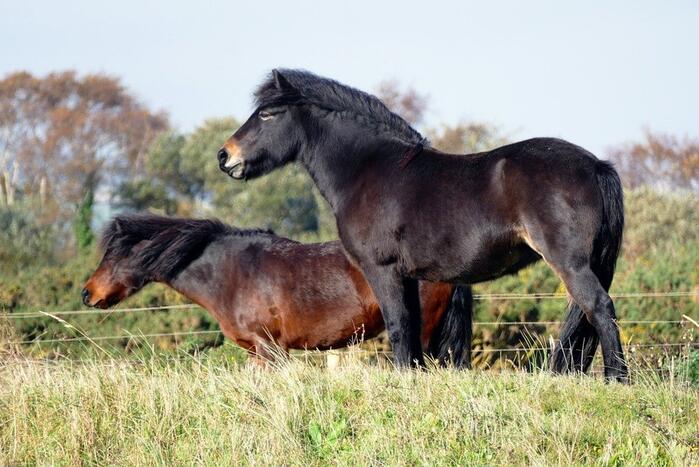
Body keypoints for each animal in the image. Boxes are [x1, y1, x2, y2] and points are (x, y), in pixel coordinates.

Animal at [217, 69, 628, 381]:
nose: (225, 156)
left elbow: (398, 326)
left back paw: (617, 378)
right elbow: (412, 331)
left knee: (599, 307)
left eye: (268, 114)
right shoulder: (410, 276)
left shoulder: (382, 269)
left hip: (570, 263)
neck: (369, 170)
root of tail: (595, 165)